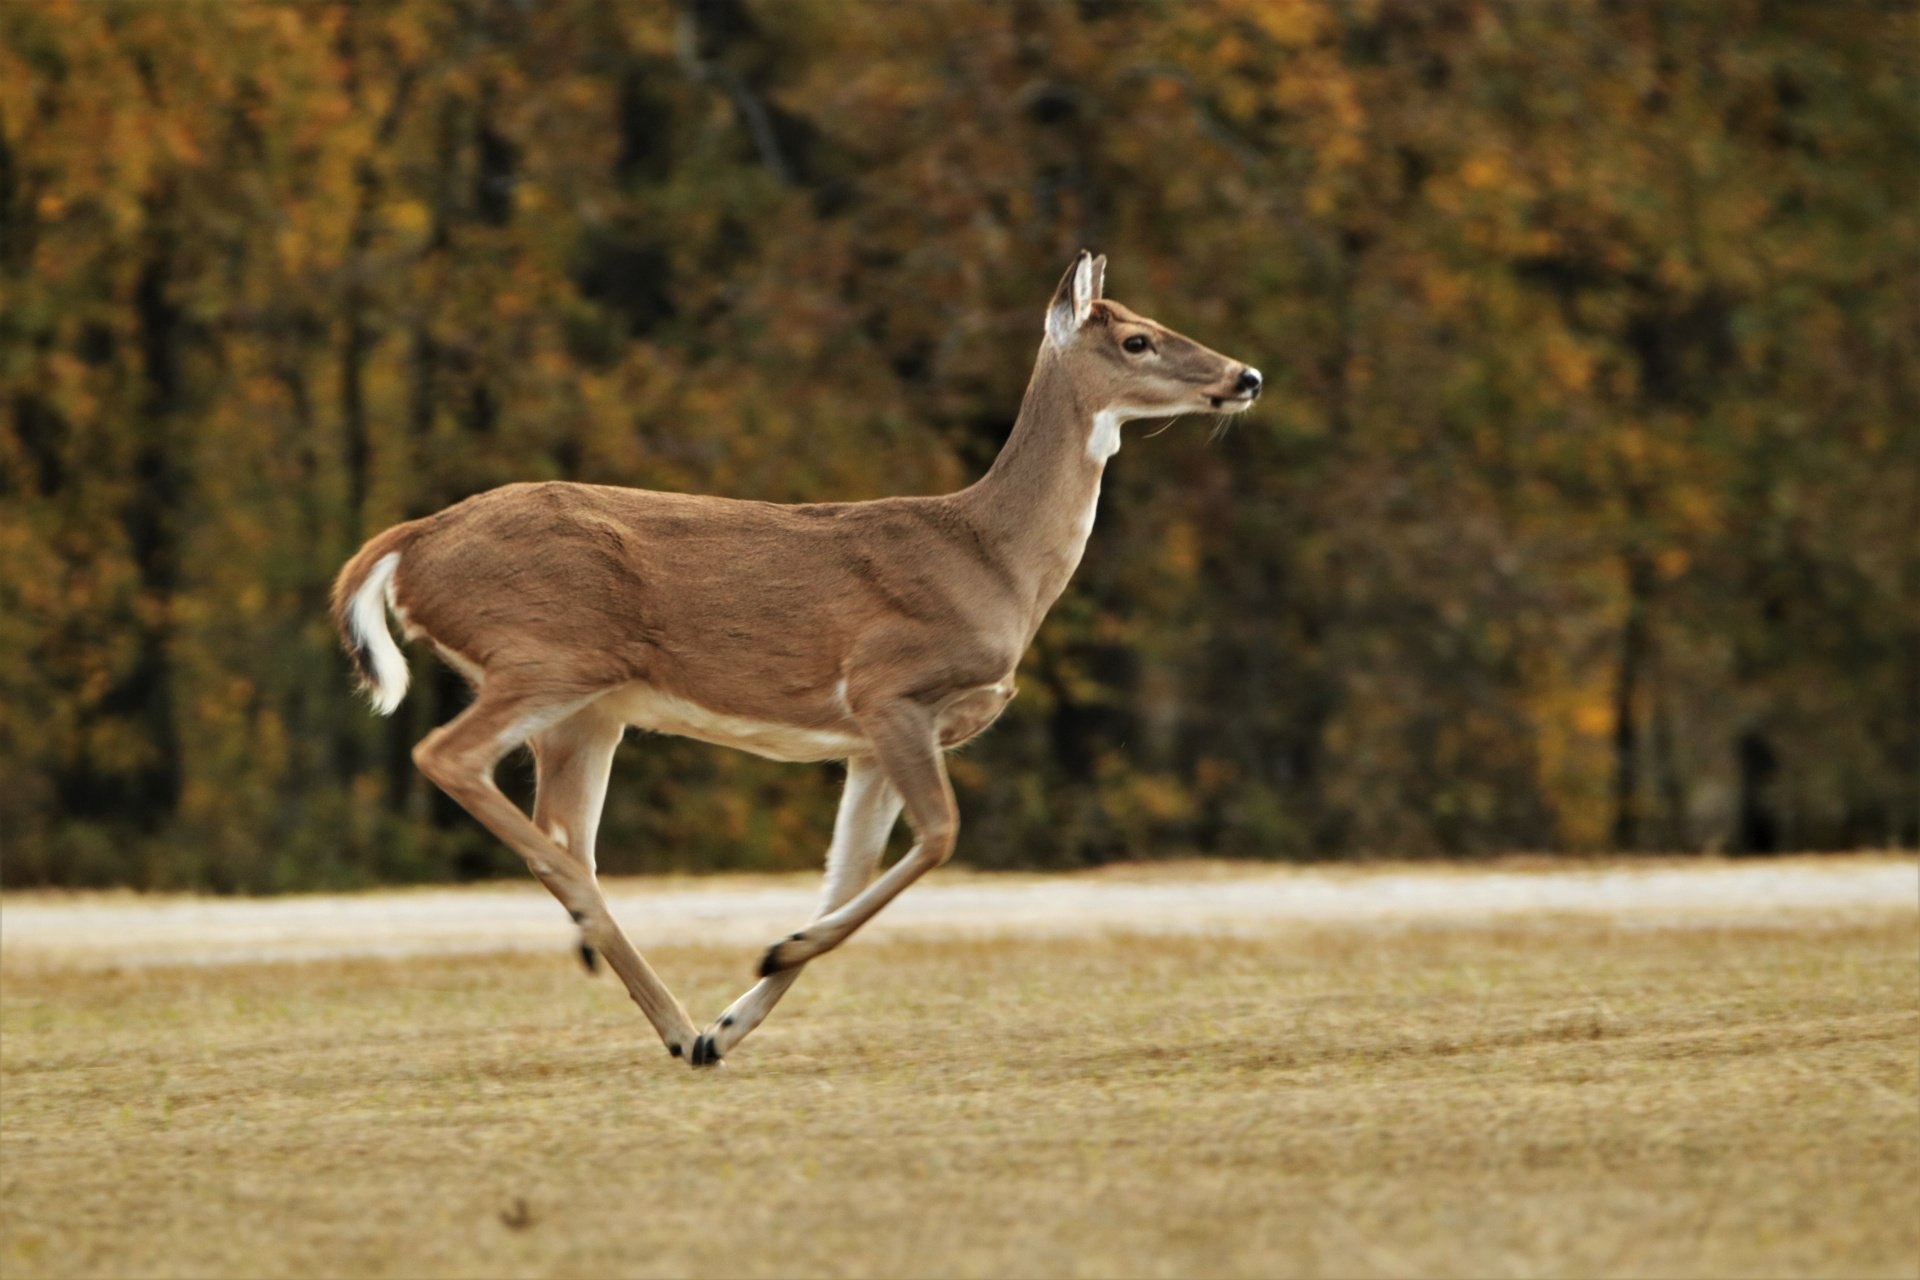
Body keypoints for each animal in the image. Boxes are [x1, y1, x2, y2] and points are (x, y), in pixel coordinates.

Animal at [330, 253, 1259, 1074]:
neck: (997, 561)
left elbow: (844, 872)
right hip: (547, 651)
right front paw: (775, 952)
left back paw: (675, 1024)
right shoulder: (890, 690)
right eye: (1137, 339)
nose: (1245, 375)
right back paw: (640, 981)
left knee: (563, 832)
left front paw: (737, 1014)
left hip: (587, 711)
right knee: (453, 761)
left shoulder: (865, 743)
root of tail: (411, 542)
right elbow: (940, 837)